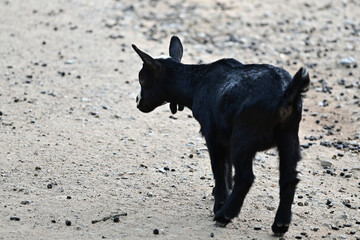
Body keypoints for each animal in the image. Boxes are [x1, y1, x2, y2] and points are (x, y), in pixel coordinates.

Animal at [131, 36, 310, 235]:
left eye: (142, 79)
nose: (138, 102)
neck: (196, 83)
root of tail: (285, 94)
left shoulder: (212, 134)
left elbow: (218, 167)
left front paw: (220, 201)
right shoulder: (226, 137)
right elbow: (227, 166)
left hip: (244, 137)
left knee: (246, 178)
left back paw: (224, 215)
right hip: (289, 137)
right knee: (289, 178)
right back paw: (280, 224)